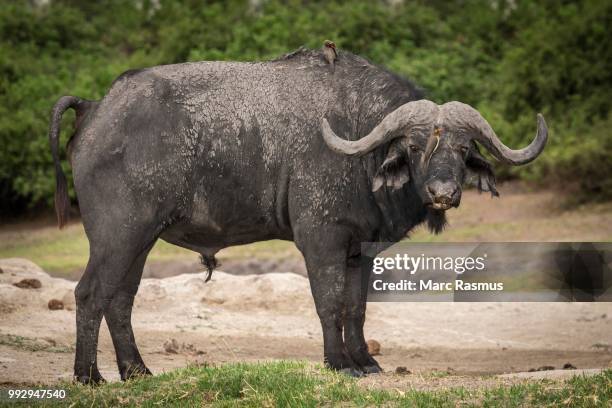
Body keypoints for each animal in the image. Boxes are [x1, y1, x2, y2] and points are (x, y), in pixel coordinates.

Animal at [46, 47, 544, 382]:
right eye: (416, 146)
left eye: (462, 149)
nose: (443, 193)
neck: (358, 139)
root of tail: (95, 109)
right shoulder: (321, 240)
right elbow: (330, 302)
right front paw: (338, 363)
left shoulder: (360, 250)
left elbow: (357, 308)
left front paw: (365, 361)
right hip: (117, 236)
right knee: (90, 293)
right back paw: (89, 376)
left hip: (141, 240)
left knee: (120, 299)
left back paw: (137, 372)